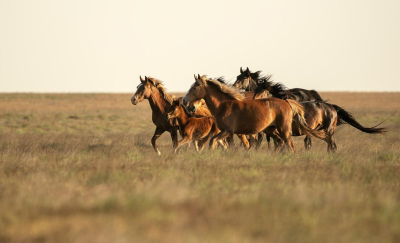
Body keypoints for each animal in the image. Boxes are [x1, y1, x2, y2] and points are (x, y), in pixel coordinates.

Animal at [183, 75, 326, 153]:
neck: (224, 104)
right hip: (270, 130)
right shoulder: (226, 132)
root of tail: (286, 102)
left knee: (290, 144)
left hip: (283, 129)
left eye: (195, 87)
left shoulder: (228, 131)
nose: (184, 101)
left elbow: (213, 141)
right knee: (280, 142)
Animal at [252, 79, 386, 151]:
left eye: (262, 90)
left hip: (328, 130)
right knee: (331, 145)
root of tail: (332, 107)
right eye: (255, 89)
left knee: (332, 145)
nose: (253, 101)